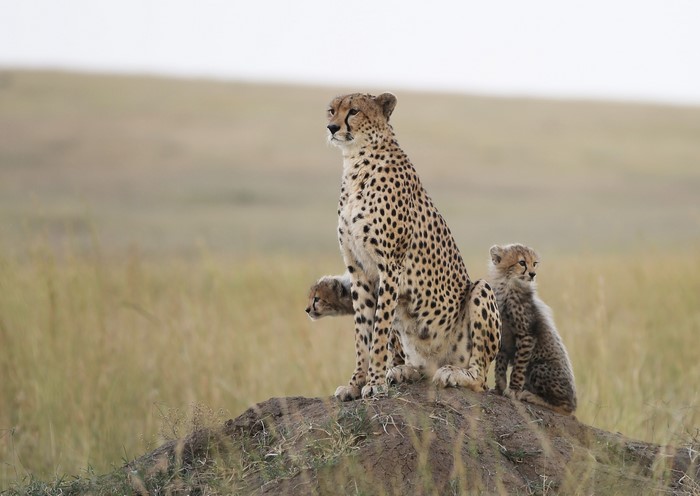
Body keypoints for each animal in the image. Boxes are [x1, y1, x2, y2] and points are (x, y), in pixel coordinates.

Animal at [326, 92, 501, 400]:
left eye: (354, 111)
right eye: (331, 110)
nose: (332, 128)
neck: (356, 162)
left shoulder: (390, 267)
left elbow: (379, 330)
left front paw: (374, 383)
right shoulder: (358, 269)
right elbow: (362, 333)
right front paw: (355, 383)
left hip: (481, 291)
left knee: (479, 378)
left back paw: (454, 374)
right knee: (420, 367)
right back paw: (403, 371)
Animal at [488, 243, 577, 415]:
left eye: (535, 263)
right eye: (522, 262)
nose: (532, 274)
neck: (507, 285)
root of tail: (575, 401)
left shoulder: (526, 335)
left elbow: (518, 367)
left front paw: (513, 390)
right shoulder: (504, 337)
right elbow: (500, 365)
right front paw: (498, 388)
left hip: (538, 367)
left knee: (565, 408)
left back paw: (531, 396)